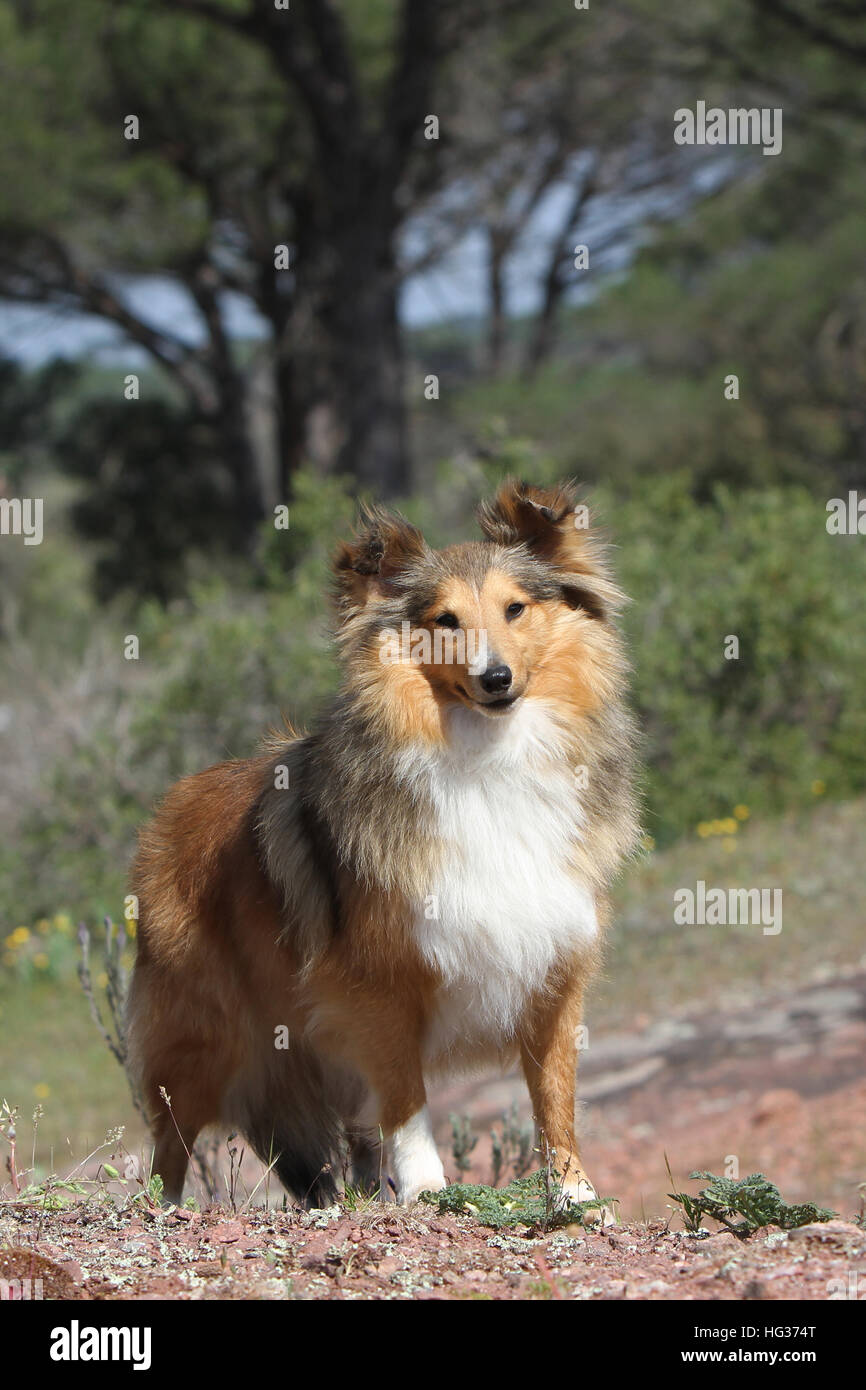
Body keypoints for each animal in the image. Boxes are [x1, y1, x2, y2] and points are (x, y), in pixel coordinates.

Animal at [130, 480, 644, 1217]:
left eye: (516, 608)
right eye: (445, 620)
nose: (496, 679)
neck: (490, 757)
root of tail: (166, 813)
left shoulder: (554, 968)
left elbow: (555, 1098)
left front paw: (576, 1193)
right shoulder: (378, 985)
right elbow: (406, 1097)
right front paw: (428, 1188)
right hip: (204, 1037)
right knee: (170, 1142)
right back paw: (168, 1209)